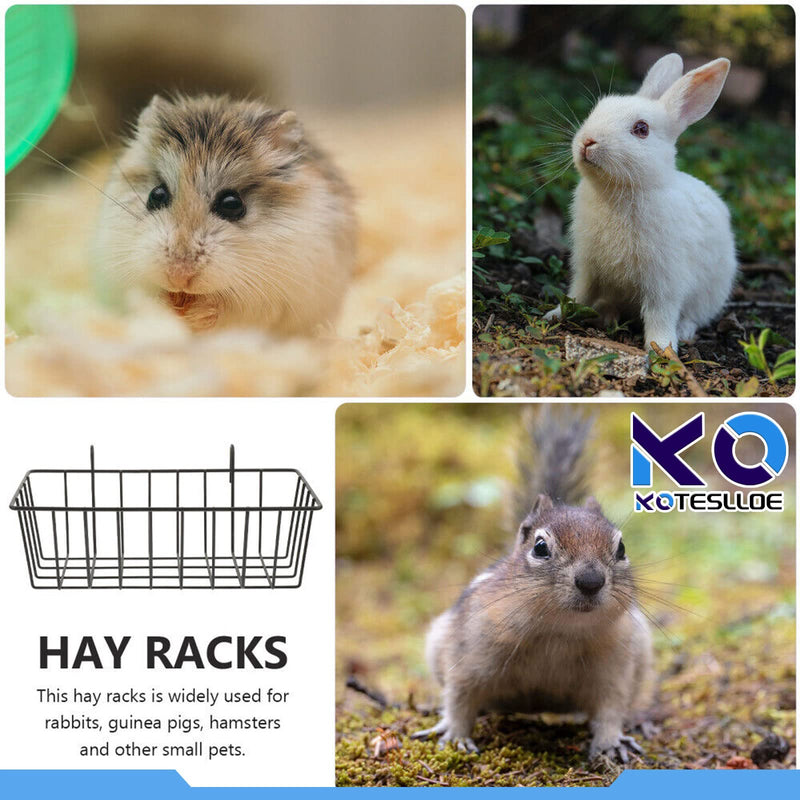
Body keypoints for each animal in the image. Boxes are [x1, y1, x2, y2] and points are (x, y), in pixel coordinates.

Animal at [545, 53, 737, 353]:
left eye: (641, 129)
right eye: (597, 109)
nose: (587, 141)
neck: (620, 191)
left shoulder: (665, 281)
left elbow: (660, 314)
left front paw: (662, 349)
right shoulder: (587, 267)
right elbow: (578, 294)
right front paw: (554, 315)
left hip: (711, 292)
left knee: (694, 316)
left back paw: (683, 332)